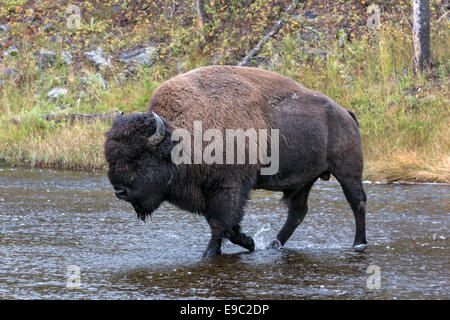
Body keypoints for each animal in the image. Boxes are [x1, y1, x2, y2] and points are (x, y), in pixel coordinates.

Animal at [103, 65, 368, 258]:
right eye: (110, 157)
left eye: (141, 157)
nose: (120, 191)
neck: (182, 137)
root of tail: (345, 113)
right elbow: (225, 226)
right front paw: (248, 243)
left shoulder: (229, 188)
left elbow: (220, 223)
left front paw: (215, 252)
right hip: (303, 182)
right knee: (297, 212)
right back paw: (273, 245)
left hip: (347, 172)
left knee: (358, 203)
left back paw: (359, 244)